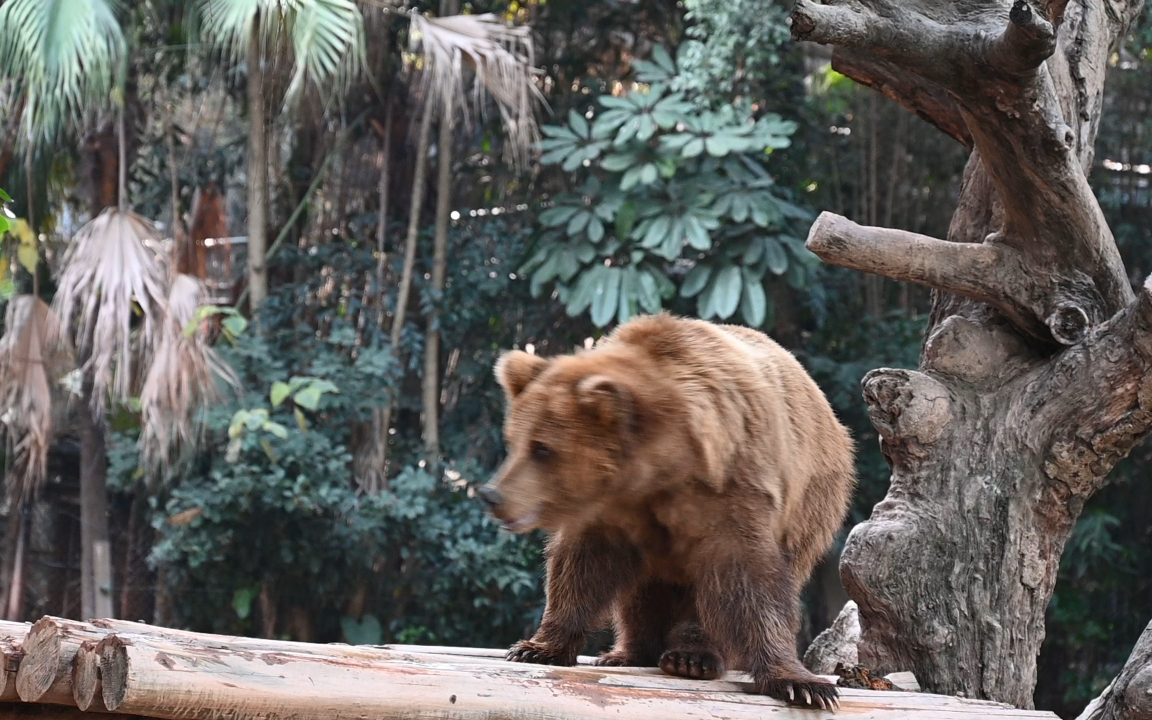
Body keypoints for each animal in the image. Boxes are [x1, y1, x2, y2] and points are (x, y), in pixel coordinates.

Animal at [478, 312, 856, 710]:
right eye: (513, 441)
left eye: (542, 448)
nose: (492, 495)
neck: (661, 467)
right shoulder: (612, 511)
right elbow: (580, 567)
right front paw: (535, 647)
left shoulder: (731, 491)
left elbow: (749, 579)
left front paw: (803, 685)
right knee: (641, 594)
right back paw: (626, 653)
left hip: (813, 507)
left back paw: (690, 656)